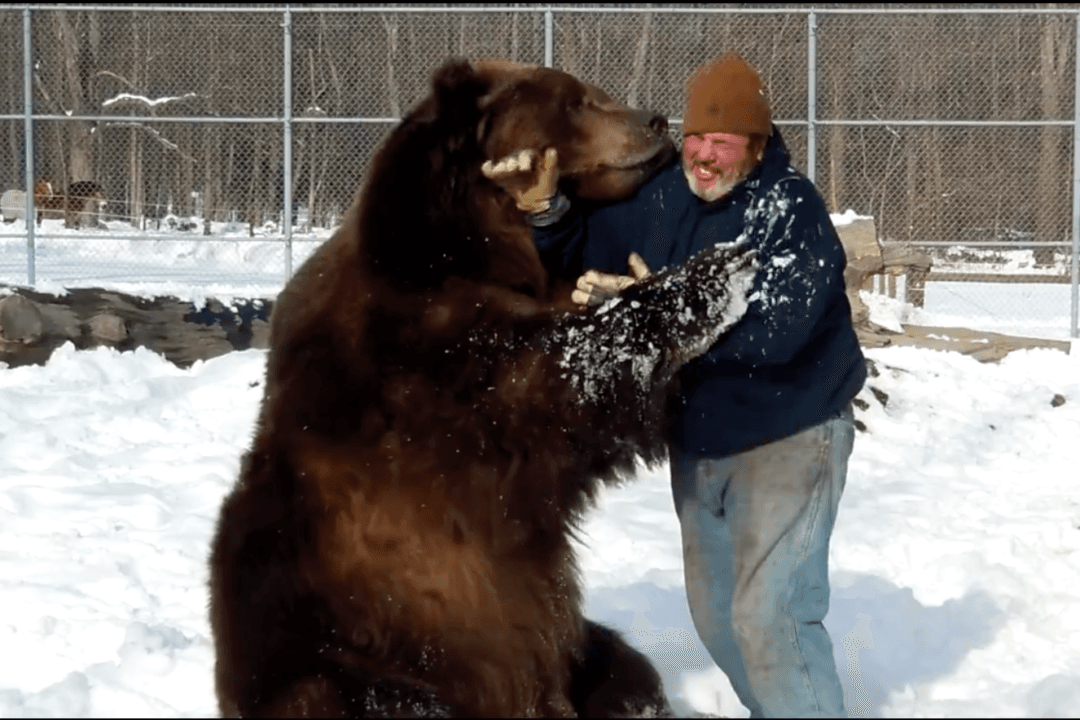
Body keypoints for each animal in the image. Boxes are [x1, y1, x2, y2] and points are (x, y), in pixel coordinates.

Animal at [209, 57, 757, 718]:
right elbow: (550, 376)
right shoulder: (417, 367)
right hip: (348, 656)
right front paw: (711, 271)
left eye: (589, 93)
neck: (479, 248)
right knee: (371, 695)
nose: (654, 120)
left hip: (569, 648)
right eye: (573, 100)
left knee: (622, 667)